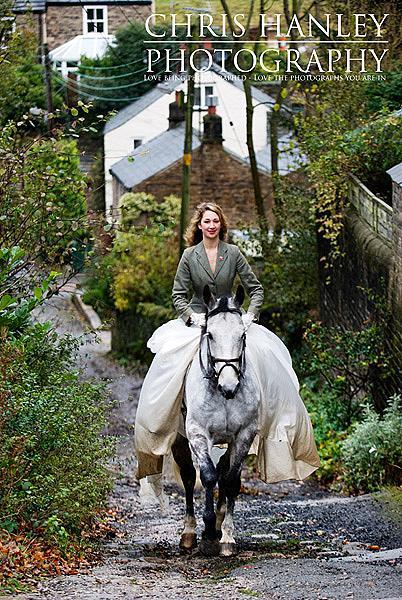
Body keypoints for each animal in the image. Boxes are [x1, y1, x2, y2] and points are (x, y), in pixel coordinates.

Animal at [171, 286, 260, 556]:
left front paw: (227, 537)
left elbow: (230, 481)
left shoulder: (244, 435)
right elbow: (207, 476)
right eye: (209, 334)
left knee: (223, 472)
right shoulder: (198, 433)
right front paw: (208, 532)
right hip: (181, 440)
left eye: (243, 334)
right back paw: (189, 533)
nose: (229, 386)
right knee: (190, 477)